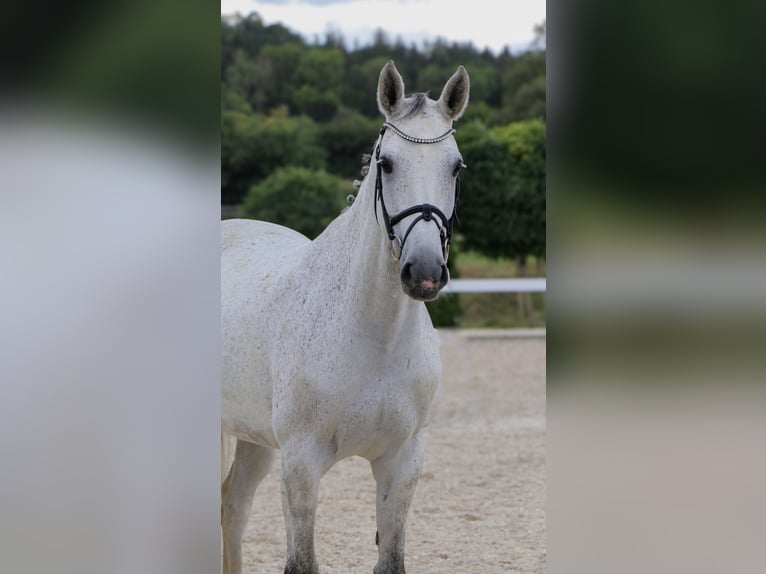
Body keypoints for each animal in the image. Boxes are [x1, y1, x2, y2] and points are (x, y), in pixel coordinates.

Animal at [222, 60, 472, 572]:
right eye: (387, 163)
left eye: (455, 166)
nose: (424, 272)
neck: (371, 335)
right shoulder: (301, 464)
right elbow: (302, 562)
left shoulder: (402, 462)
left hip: (254, 439)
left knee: (233, 509)